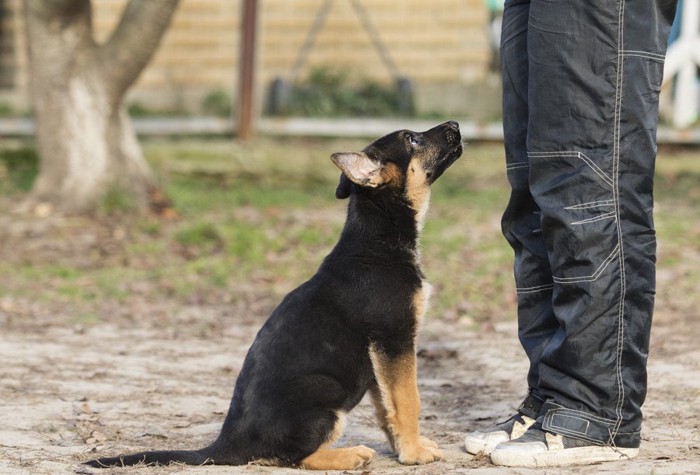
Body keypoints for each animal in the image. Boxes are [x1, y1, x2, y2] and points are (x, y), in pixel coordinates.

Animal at [85, 121, 462, 470]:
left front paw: (404, 448)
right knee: (291, 457)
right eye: (412, 139)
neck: (378, 237)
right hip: (324, 394)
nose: (455, 125)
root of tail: (226, 445)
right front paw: (413, 454)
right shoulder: (394, 340)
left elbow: (388, 407)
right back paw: (349, 455)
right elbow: (409, 400)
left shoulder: (381, 358)